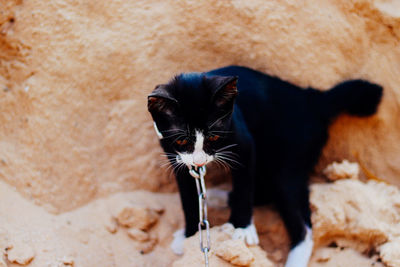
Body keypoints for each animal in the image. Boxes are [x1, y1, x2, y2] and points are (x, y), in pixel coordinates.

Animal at [146, 65, 382, 267]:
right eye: (181, 141)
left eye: (213, 137)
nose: (199, 161)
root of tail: (312, 99)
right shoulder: (177, 158)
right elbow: (188, 198)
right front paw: (190, 235)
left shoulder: (245, 143)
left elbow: (244, 187)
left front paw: (241, 228)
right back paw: (216, 197)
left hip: (289, 162)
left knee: (303, 225)